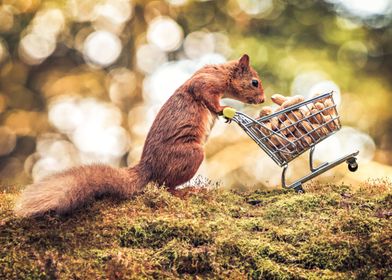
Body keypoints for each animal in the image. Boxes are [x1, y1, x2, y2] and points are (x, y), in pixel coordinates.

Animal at [13, 53, 264, 218]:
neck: (223, 73)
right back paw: (186, 191)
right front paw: (224, 110)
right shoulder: (205, 82)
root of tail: (149, 166)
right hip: (191, 154)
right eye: (254, 82)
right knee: (164, 185)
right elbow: (205, 95)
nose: (262, 99)